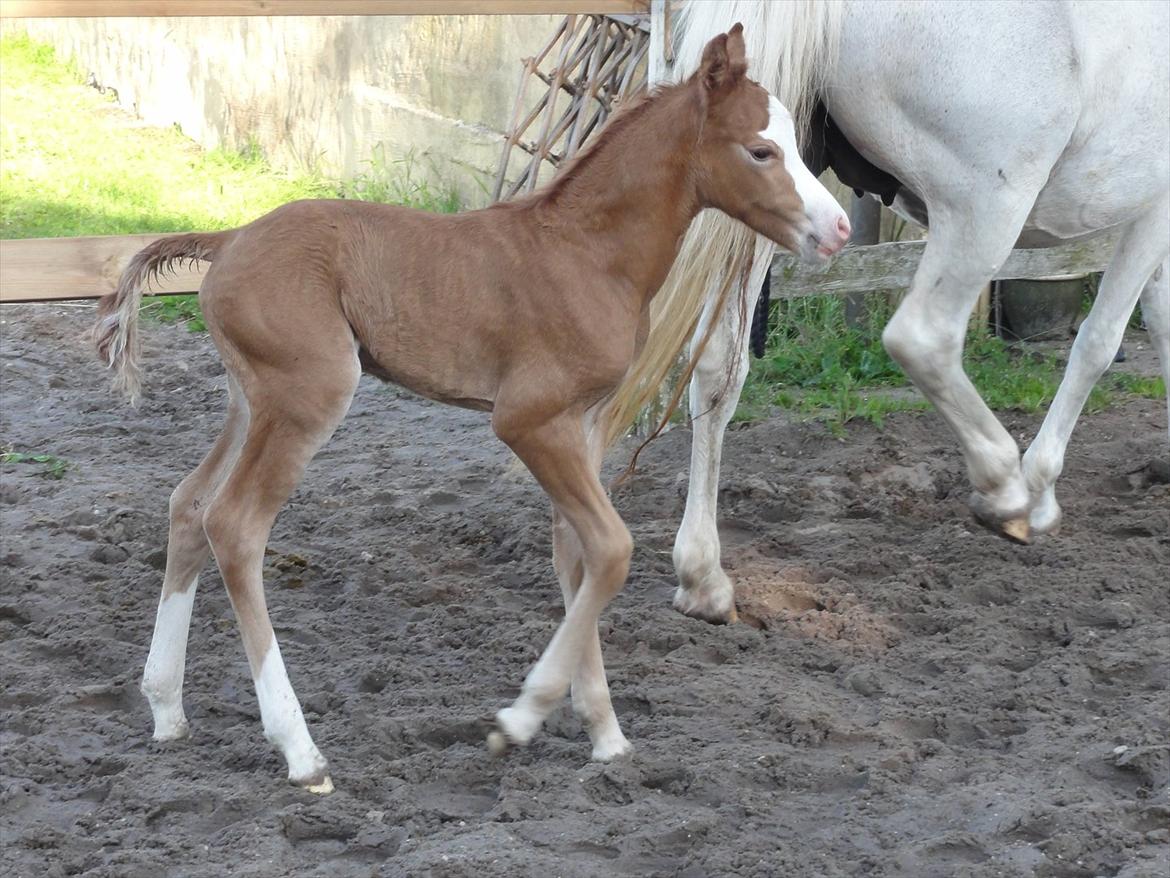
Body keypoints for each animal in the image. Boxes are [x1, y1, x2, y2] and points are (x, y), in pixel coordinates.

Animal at [92, 25, 850, 792]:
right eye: (761, 151)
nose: (841, 227)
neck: (587, 252)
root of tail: (228, 241)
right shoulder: (527, 420)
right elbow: (612, 549)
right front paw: (520, 718)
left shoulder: (579, 427)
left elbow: (577, 556)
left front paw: (605, 735)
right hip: (308, 395)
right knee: (236, 525)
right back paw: (300, 751)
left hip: (252, 400)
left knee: (189, 505)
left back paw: (166, 708)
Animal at [604, 0, 1170, 624]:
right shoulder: (1154, 212)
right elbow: (1098, 343)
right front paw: (1040, 490)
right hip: (985, 211)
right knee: (923, 339)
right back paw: (1006, 489)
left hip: (762, 203)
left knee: (716, 368)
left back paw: (703, 578)